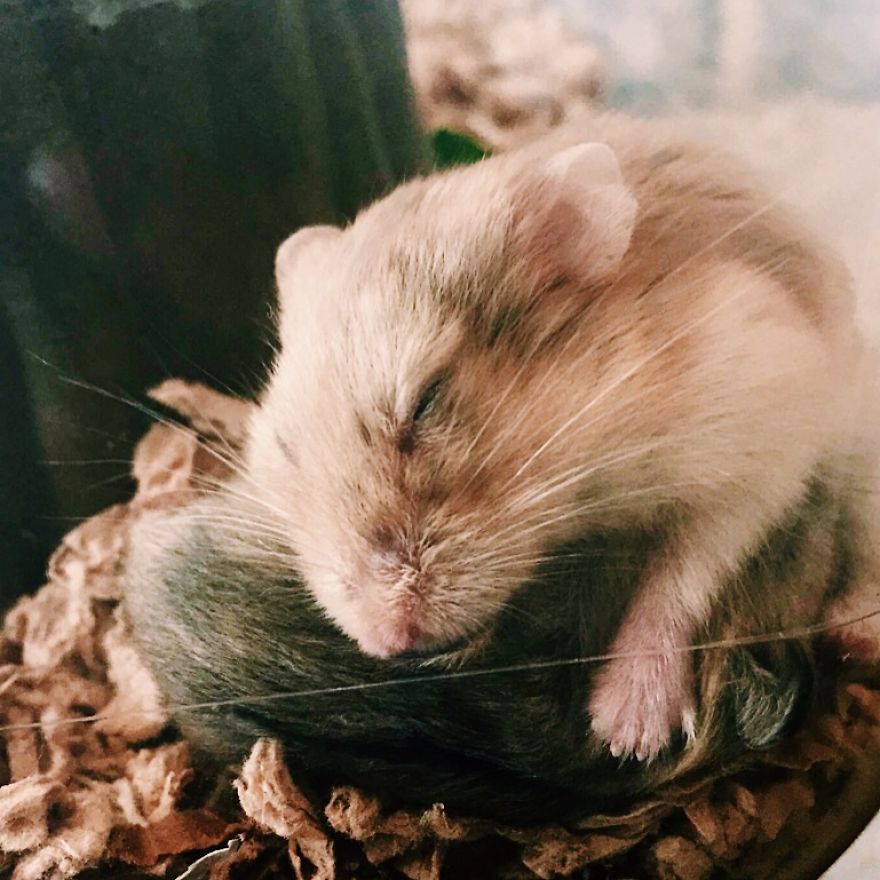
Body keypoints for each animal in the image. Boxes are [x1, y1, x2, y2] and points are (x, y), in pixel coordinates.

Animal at [242, 112, 868, 762]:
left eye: (427, 400)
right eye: (285, 449)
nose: (389, 643)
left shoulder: (763, 432)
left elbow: (681, 572)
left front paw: (626, 734)